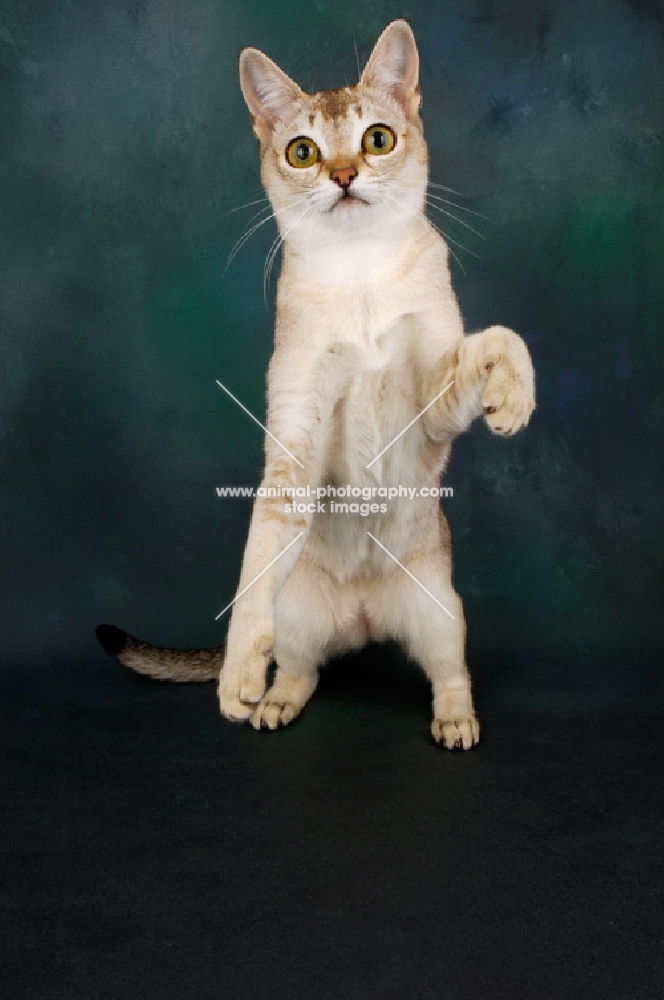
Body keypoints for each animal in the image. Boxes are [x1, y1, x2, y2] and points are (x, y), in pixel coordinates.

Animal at [97, 19, 536, 752]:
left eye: (377, 139)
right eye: (302, 152)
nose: (344, 175)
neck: (359, 274)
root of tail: (364, 621)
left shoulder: (430, 413)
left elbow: (501, 338)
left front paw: (512, 401)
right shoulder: (295, 434)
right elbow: (254, 564)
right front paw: (237, 678)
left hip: (444, 613)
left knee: (449, 672)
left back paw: (455, 721)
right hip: (299, 616)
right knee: (301, 667)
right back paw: (272, 700)